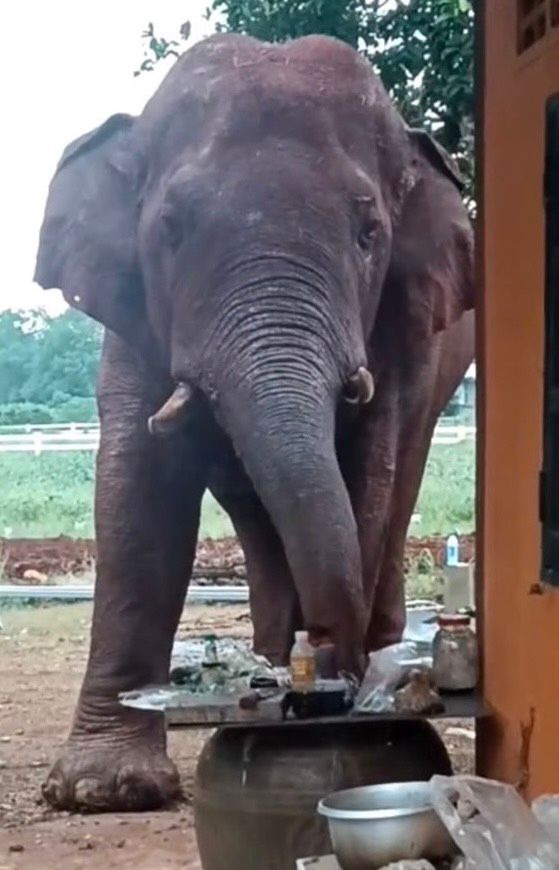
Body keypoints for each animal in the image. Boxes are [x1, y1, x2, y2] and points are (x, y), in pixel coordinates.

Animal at [34, 32, 474, 812]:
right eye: (169, 230)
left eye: (369, 233)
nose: (328, 657)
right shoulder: (132, 319)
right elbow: (140, 489)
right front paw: (103, 790)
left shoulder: (406, 333)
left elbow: (370, 471)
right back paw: (272, 655)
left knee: (396, 491)